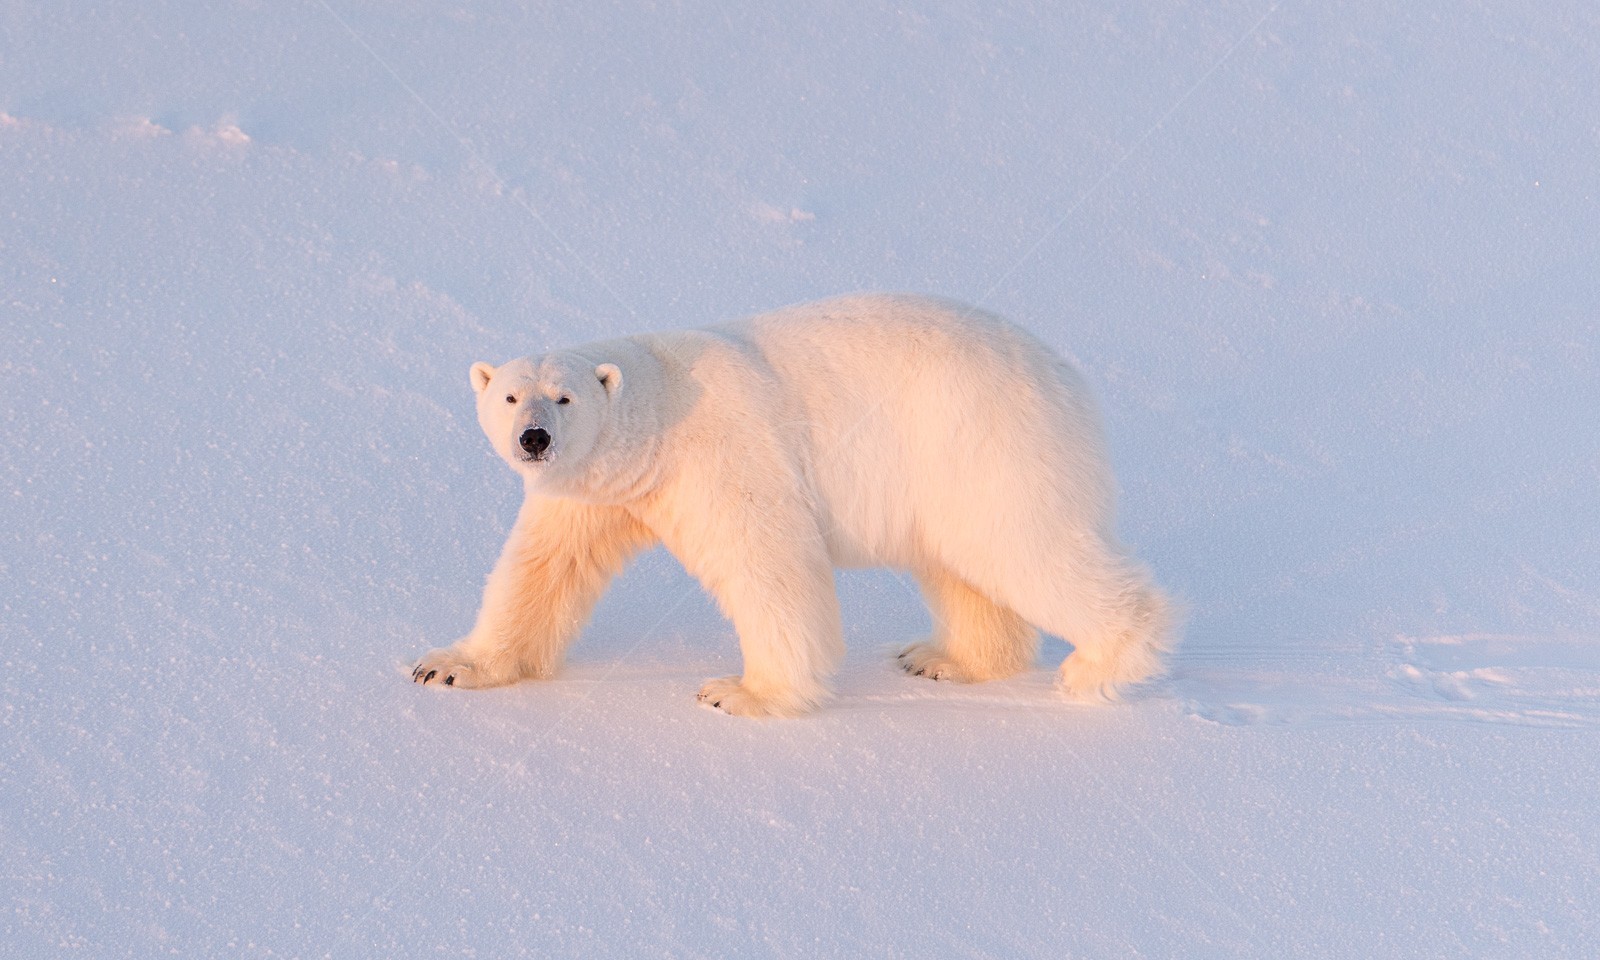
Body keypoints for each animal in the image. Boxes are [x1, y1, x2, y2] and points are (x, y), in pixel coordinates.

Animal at [411, 293, 1174, 716]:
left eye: (564, 397)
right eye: (511, 395)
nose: (534, 437)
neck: (660, 407)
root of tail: (1065, 375)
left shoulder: (726, 450)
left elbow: (767, 557)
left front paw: (742, 693)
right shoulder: (594, 489)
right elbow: (542, 570)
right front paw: (448, 666)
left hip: (982, 441)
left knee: (1026, 547)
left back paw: (1103, 664)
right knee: (963, 564)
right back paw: (945, 658)